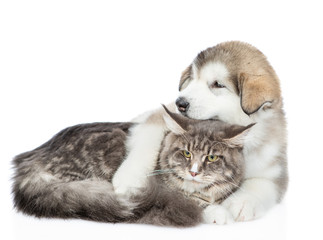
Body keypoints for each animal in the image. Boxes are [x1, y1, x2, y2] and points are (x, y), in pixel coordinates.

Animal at [113, 40, 288, 223]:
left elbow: (264, 182)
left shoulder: (274, 163)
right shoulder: (160, 117)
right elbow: (147, 143)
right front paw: (129, 179)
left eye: (217, 84)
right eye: (192, 79)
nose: (180, 103)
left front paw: (242, 202)